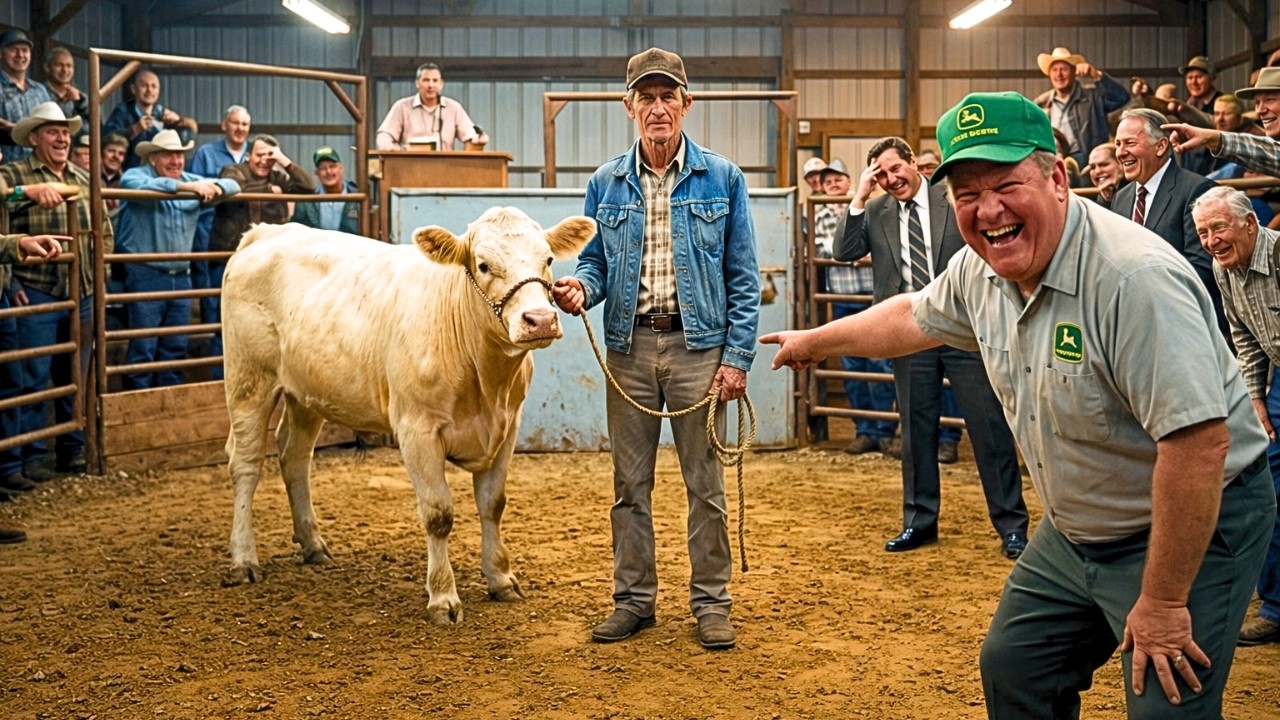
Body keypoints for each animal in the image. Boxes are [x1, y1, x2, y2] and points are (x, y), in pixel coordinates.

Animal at [220, 208, 595, 625]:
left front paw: (501, 579)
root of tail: (266, 233)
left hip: (305, 392)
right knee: (246, 465)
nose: (540, 320)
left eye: (548, 259)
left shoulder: (507, 427)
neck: (485, 378)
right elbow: (438, 514)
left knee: (295, 457)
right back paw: (244, 560)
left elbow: (493, 504)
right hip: (248, 380)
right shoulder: (417, 430)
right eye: (483, 265)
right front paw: (443, 597)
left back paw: (313, 544)